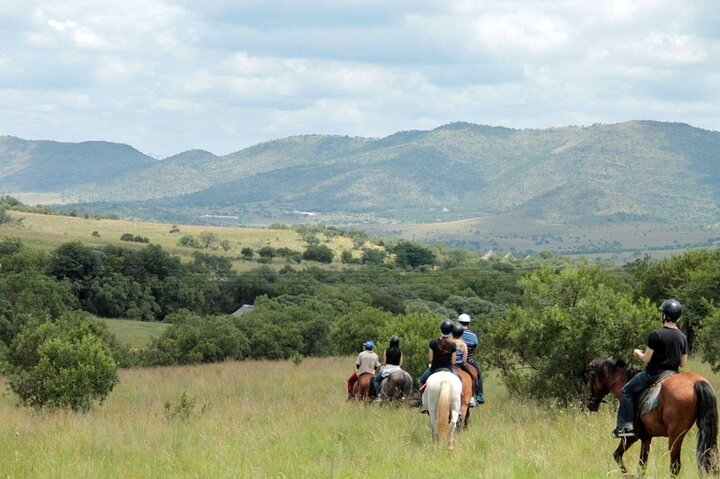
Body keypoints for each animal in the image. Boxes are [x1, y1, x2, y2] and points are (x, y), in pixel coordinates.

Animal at [588, 356, 716, 476]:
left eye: (591, 377)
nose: (590, 403)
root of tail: (696, 383)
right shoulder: (646, 437)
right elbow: (642, 466)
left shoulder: (631, 437)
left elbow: (617, 455)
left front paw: (629, 476)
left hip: (675, 436)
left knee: (674, 466)